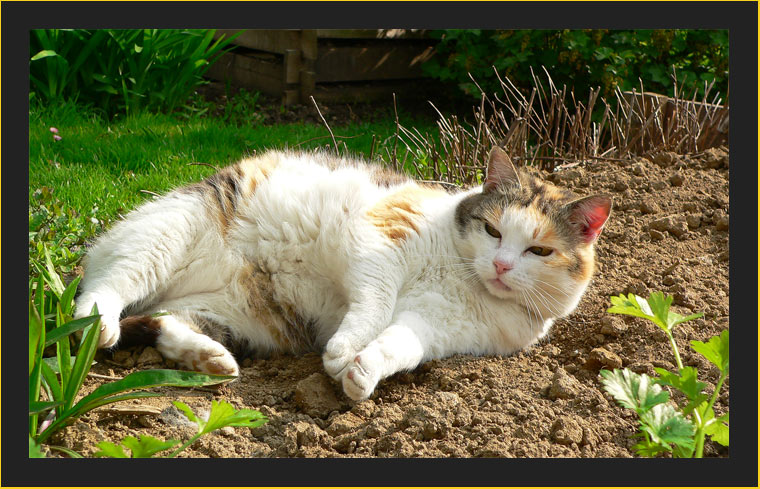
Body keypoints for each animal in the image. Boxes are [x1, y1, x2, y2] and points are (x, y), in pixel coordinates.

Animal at [75, 146, 612, 400]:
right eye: (492, 230)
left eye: (539, 251)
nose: (501, 265)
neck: (464, 280)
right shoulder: (382, 237)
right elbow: (374, 303)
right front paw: (344, 349)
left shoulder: (440, 327)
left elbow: (400, 344)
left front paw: (362, 372)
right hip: (167, 233)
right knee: (102, 288)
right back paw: (97, 327)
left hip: (232, 315)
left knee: (163, 322)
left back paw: (212, 360)